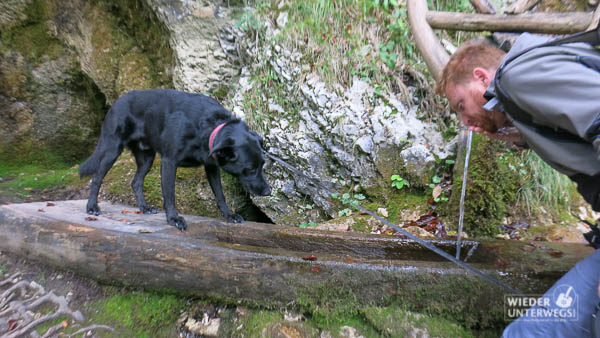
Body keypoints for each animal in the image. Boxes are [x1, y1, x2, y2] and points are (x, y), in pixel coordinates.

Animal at [78, 88, 270, 230]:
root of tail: (116, 102)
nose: (268, 192)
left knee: (136, 182)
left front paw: (228, 214)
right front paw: (173, 219)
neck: (209, 127)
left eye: (262, 165)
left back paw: (144, 207)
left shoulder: (211, 166)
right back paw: (92, 207)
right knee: (97, 177)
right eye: (250, 169)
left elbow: (219, 193)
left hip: (147, 158)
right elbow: (169, 195)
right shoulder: (169, 161)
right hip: (112, 149)